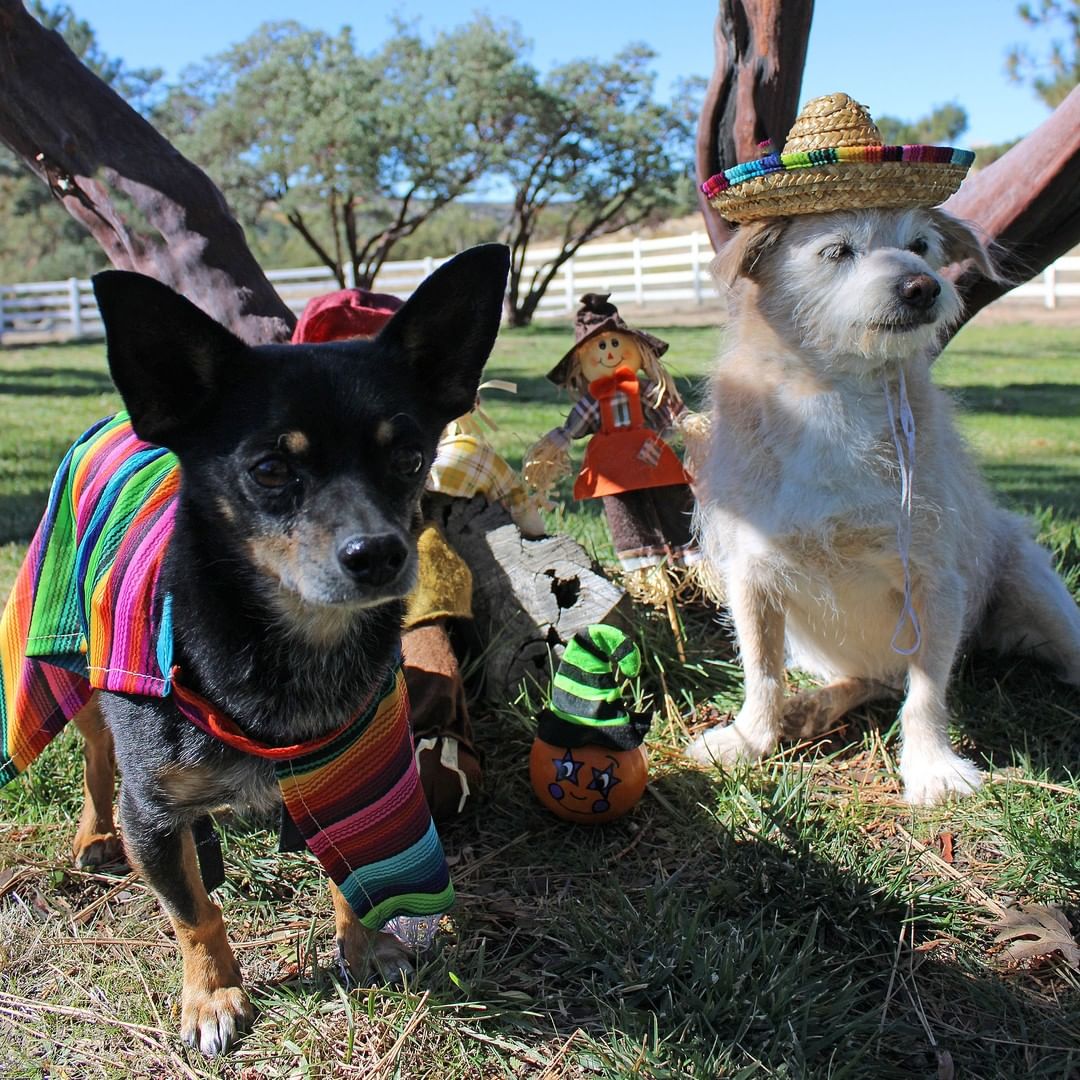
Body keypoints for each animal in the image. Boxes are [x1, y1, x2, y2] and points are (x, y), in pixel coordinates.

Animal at [2, 243, 507, 1054]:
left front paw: (366, 945)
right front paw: (212, 997)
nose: (380, 553)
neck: (283, 653)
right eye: (271, 469)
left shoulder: (357, 774)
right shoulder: (153, 812)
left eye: (409, 457)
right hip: (77, 667)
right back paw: (96, 833)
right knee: (99, 758)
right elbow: (194, 913)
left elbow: (353, 874)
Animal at [686, 208, 1080, 803]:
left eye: (920, 245)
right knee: (874, 678)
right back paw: (812, 707)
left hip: (1037, 593)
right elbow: (761, 672)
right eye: (837, 250)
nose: (923, 286)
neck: (830, 393)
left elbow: (926, 693)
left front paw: (933, 768)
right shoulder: (752, 578)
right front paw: (749, 738)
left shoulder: (935, 583)